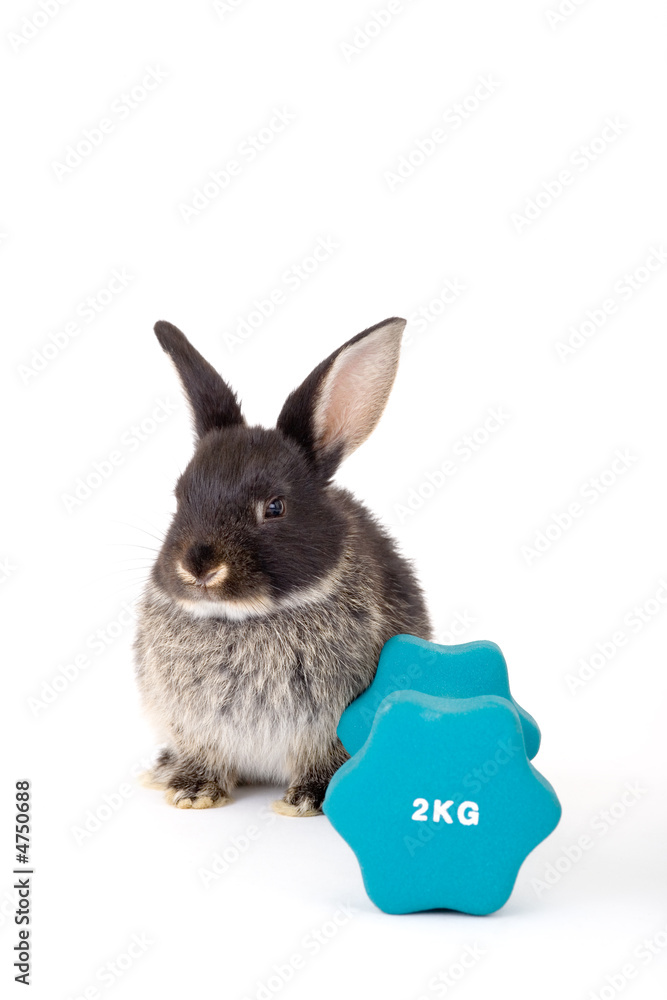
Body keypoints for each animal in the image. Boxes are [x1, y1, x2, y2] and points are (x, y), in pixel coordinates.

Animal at [134, 317, 432, 816]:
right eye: (179, 496)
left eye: (274, 507)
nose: (199, 568)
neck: (241, 618)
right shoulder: (193, 726)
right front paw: (192, 792)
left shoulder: (328, 729)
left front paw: (309, 799)